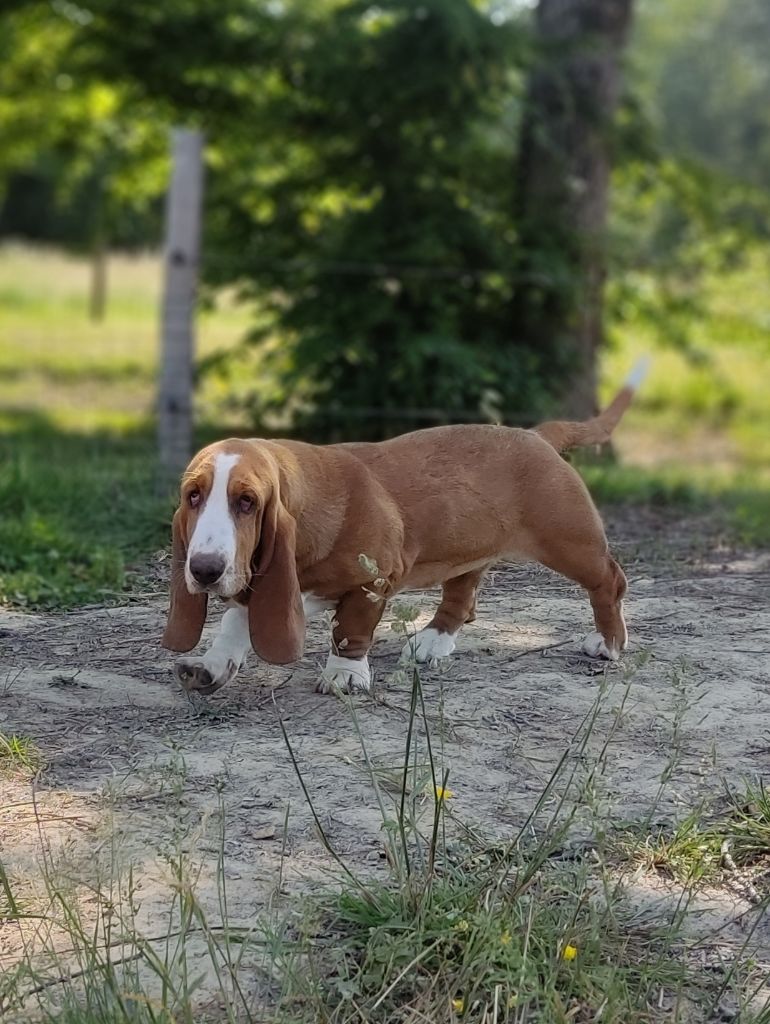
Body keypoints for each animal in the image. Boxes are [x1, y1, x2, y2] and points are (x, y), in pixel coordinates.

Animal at [162, 360, 651, 696]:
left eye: (246, 502)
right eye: (193, 496)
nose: (203, 570)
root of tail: (539, 436)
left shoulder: (372, 578)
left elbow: (351, 628)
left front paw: (344, 676)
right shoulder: (278, 581)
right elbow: (236, 619)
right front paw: (210, 665)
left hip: (570, 542)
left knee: (609, 582)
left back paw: (609, 643)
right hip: (468, 550)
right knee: (461, 598)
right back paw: (432, 643)